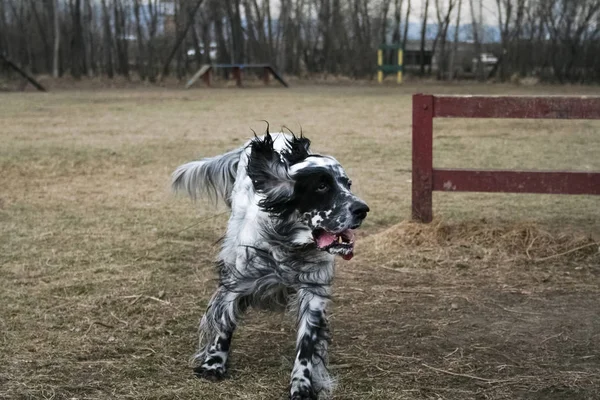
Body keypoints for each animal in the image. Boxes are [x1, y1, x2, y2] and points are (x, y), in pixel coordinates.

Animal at [173, 130, 368, 398]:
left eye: (347, 184)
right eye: (321, 186)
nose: (363, 209)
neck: (289, 245)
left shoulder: (314, 292)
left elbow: (307, 345)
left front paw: (301, 384)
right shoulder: (238, 281)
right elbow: (224, 322)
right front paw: (214, 363)